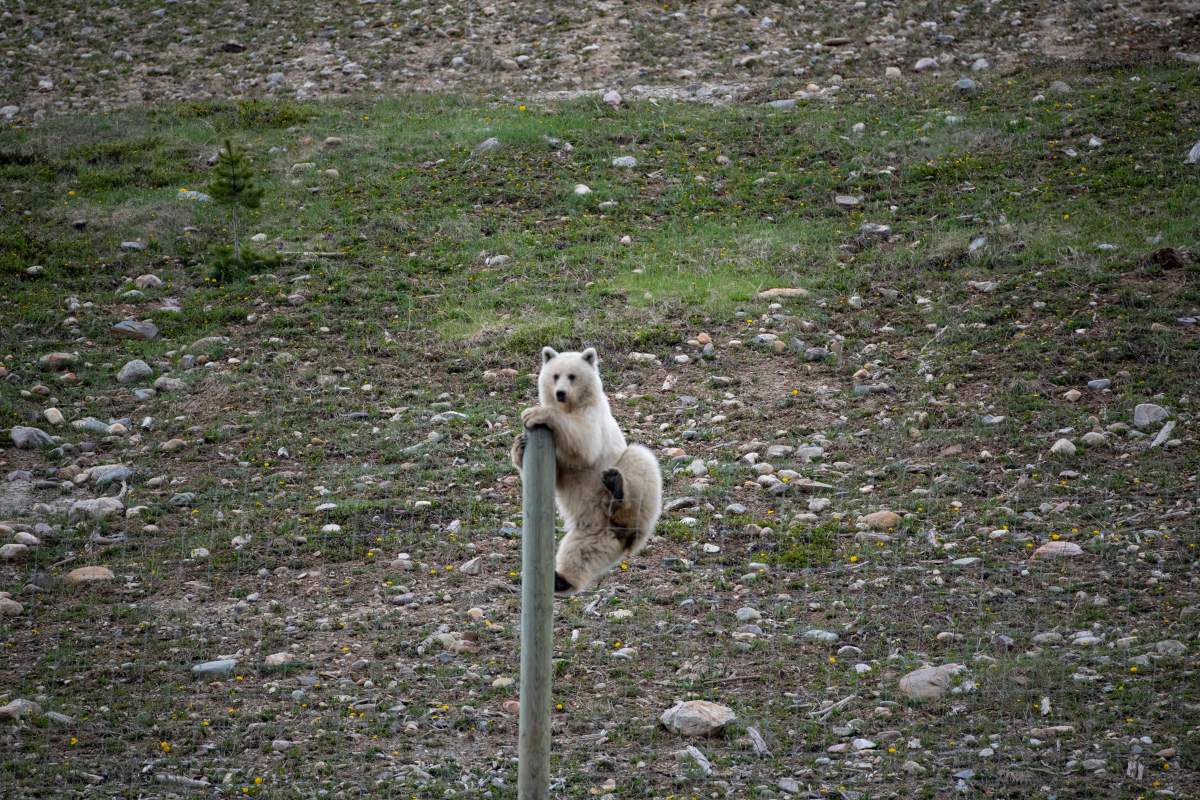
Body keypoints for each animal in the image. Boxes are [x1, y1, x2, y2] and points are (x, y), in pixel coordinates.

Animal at [510, 346, 662, 595]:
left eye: (572, 376)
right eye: (555, 376)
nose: (560, 393)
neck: (573, 405)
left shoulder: (593, 415)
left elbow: (584, 441)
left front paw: (534, 413)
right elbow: (558, 473)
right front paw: (520, 445)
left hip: (633, 491)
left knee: (640, 459)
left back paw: (617, 488)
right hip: (592, 522)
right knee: (584, 547)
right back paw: (561, 579)